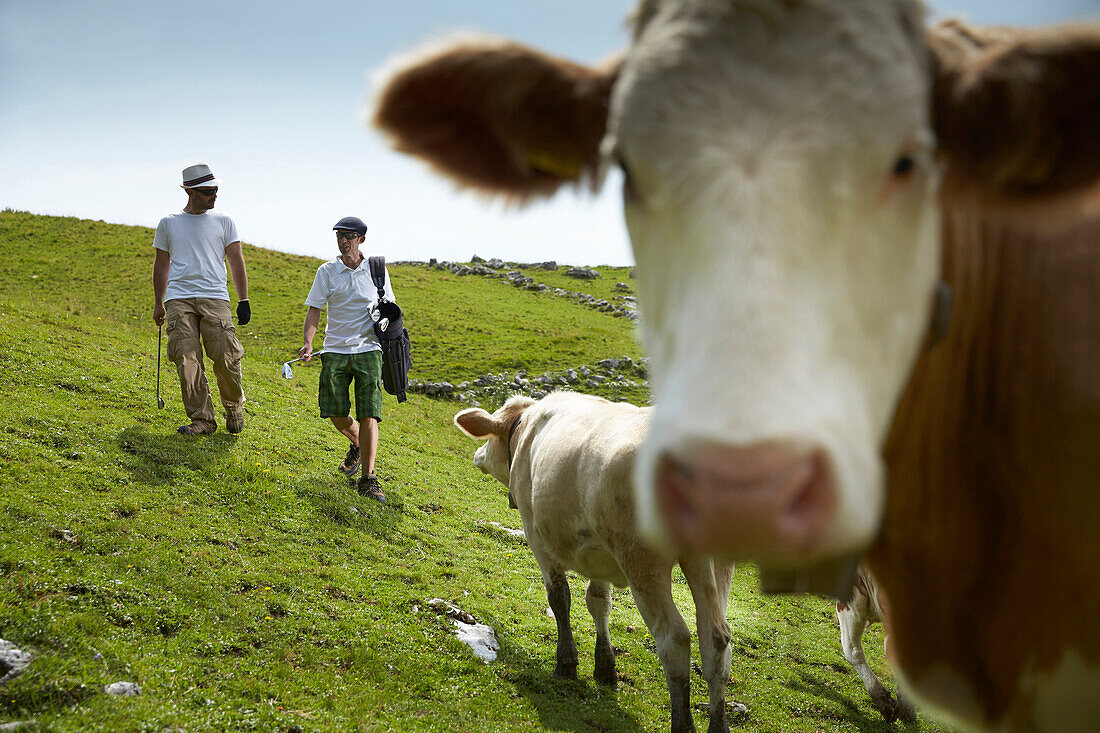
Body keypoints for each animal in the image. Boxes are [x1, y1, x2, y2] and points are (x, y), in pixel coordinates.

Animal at [455, 394, 739, 730]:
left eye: (488, 438)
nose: (477, 455)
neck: (526, 424)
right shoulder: (601, 555)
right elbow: (599, 602)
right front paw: (605, 666)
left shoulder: (536, 535)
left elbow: (559, 597)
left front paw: (566, 664)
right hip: (715, 561)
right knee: (716, 640)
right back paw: (718, 725)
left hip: (641, 559)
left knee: (674, 637)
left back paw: (682, 724)